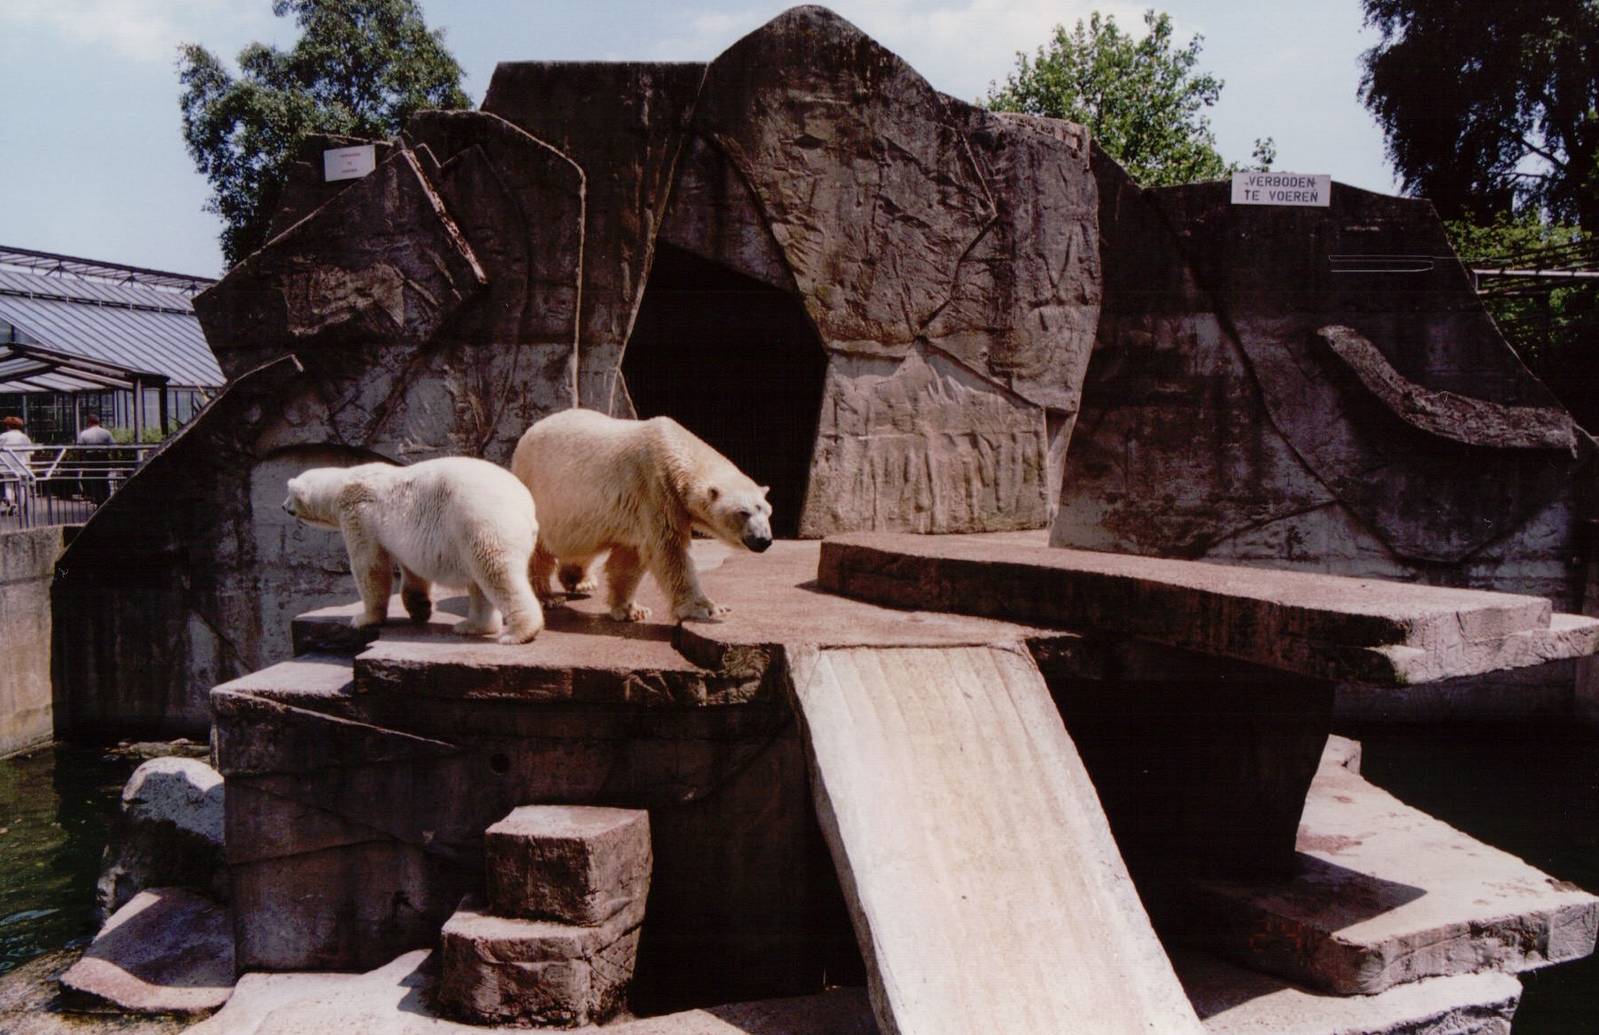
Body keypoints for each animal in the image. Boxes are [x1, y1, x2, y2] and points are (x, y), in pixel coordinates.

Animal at [283, 457, 544, 644]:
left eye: (289, 494)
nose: (284, 507)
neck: (344, 482)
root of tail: (527, 509)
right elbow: (413, 572)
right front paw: (421, 609)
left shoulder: (359, 514)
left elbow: (370, 565)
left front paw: (363, 618)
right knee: (480, 581)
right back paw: (472, 626)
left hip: (482, 520)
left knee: (495, 571)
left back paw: (519, 632)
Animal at [510, 409, 773, 623]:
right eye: (743, 512)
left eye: (767, 510)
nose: (764, 540)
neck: (673, 448)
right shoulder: (655, 489)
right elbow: (669, 552)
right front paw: (708, 608)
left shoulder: (639, 509)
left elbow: (629, 558)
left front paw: (632, 610)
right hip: (537, 489)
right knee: (539, 548)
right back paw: (546, 596)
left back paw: (582, 580)